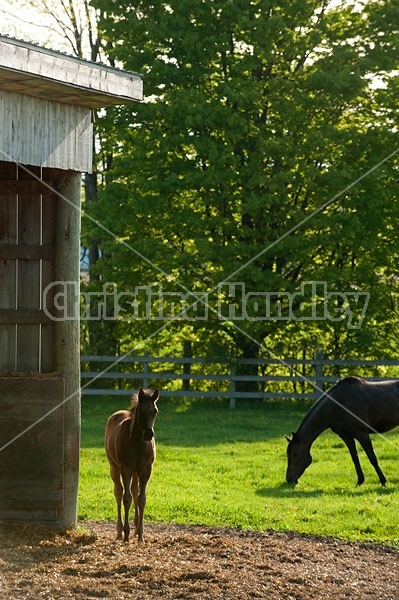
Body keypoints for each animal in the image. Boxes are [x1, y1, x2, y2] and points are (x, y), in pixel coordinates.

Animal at [106, 390, 159, 544]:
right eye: (141, 410)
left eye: (155, 410)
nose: (149, 434)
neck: (138, 442)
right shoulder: (126, 468)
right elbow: (126, 498)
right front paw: (126, 533)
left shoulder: (146, 469)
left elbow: (142, 498)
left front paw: (141, 534)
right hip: (114, 466)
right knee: (118, 492)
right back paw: (120, 531)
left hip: (136, 471)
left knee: (135, 490)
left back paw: (135, 528)